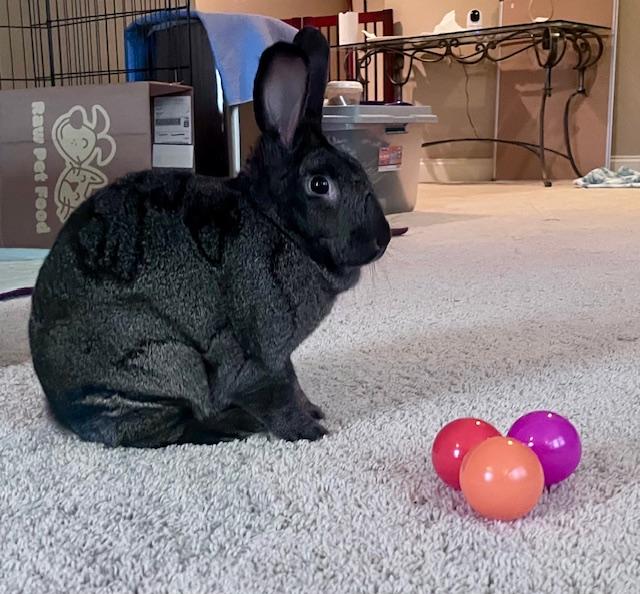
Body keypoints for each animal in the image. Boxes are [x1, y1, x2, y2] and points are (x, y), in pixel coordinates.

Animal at [29, 27, 391, 448]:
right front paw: (311, 431)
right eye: (320, 185)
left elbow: (295, 383)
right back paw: (233, 424)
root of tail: (60, 405)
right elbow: (278, 394)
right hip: (159, 357)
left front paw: (314, 410)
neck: (277, 223)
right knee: (156, 428)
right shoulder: (261, 355)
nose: (382, 240)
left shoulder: (282, 356)